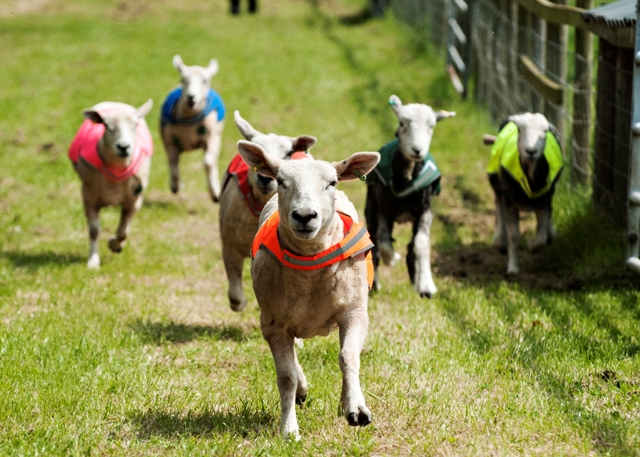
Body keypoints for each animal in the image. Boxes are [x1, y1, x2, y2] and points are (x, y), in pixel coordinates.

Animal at [68, 100, 154, 269]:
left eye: (135, 125)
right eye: (106, 126)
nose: (123, 147)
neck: (117, 169)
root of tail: (116, 103)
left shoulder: (134, 201)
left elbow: (123, 232)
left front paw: (114, 244)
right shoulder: (88, 197)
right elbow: (94, 230)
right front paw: (93, 261)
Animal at [160, 55, 225, 202]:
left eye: (205, 80)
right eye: (183, 79)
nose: (191, 97)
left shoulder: (211, 137)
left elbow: (208, 162)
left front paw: (214, 193)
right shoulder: (170, 142)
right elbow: (173, 167)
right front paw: (175, 187)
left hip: (217, 137)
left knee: (213, 162)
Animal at [237, 140, 380, 440]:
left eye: (332, 182)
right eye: (281, 181)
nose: (305, 216)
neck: (311, 271)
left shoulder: (355, 312)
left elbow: (349, 357)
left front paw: (356, 408)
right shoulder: (273, 324)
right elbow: (286, 376)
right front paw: (289, 429)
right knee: (293, 364)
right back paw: (302, 392)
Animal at [364, 94, 455, 297]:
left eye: (432, 126)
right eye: (402, 123)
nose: (417, 150)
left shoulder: (425, 209)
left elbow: (421, 243)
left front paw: (426, 285)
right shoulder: (384, 208)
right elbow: (383, 244)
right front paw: (391, 259)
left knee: (411, 245)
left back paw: (415, 276)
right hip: (372, 205)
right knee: (374, 239)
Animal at [486, 112, 564, 274]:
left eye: (545, 131)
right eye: (520, 130)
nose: (531, 151)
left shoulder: (544, 200)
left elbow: (541, 237)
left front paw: (532, 246)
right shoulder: (509, 200)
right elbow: (514, 236)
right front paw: (513, 268)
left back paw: (551, 233)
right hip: (497, 184)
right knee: (498, 207)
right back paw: (500, 240)